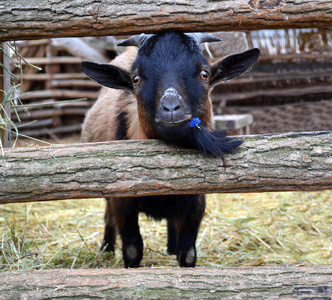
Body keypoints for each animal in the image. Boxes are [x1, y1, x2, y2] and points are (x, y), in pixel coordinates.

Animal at [81, 31, 260, 268]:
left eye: (204, 74)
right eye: (136, 79)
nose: (172, 108)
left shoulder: (196, 201)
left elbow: (188, 253)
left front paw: (178, 253)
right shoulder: (122, 200)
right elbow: (132, 249)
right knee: (108, 217)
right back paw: (106, 249)